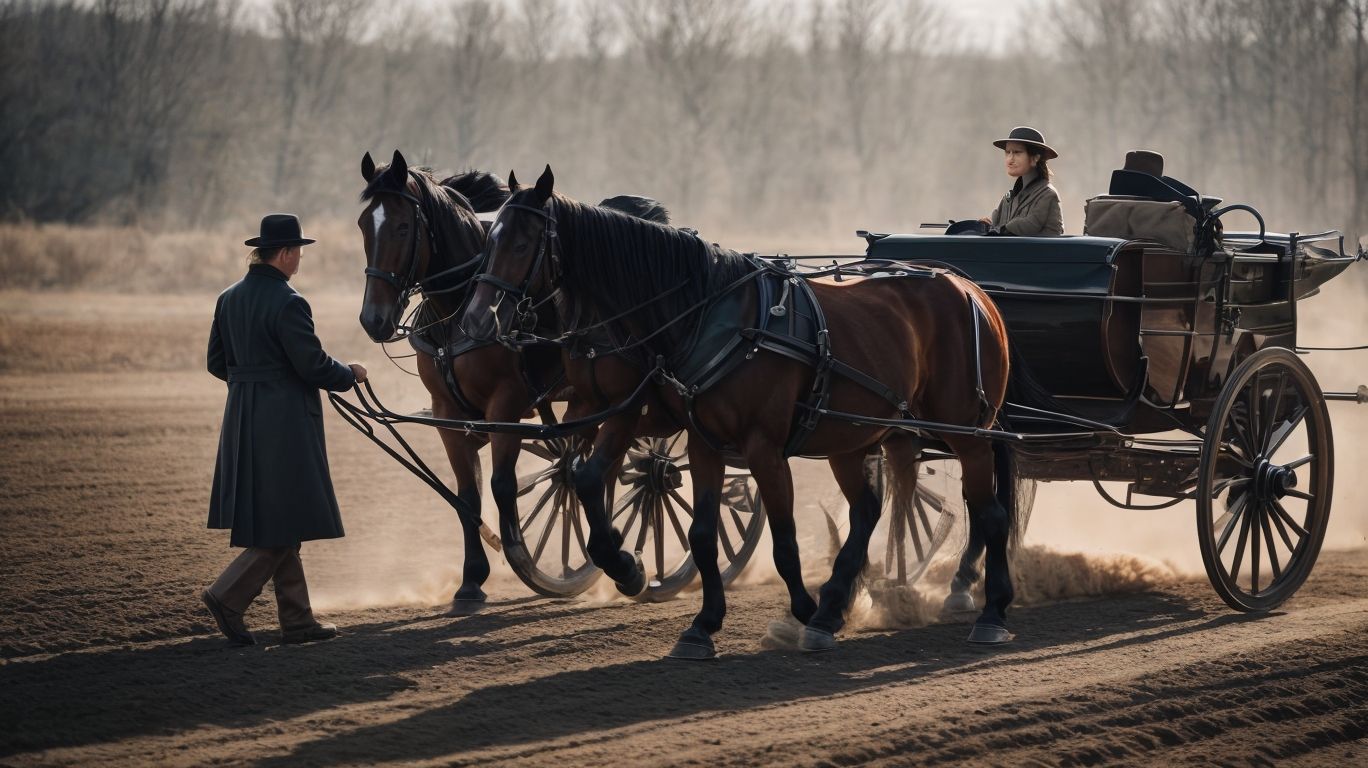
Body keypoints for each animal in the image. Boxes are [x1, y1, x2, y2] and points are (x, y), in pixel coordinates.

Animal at [461, 166, 1021, 658]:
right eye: (488, 240)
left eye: (521, 244)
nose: (477, 320)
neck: (707, 315)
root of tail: (968, 287)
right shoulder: (694, 438)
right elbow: (694, 531)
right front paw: (695, 620)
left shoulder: (760, 447)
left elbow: (784, 539)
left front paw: (798, 608)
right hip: (851, 436)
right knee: (868, 511)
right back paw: (835, 607)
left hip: (966, 432)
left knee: (989, 512)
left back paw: (988, 611)